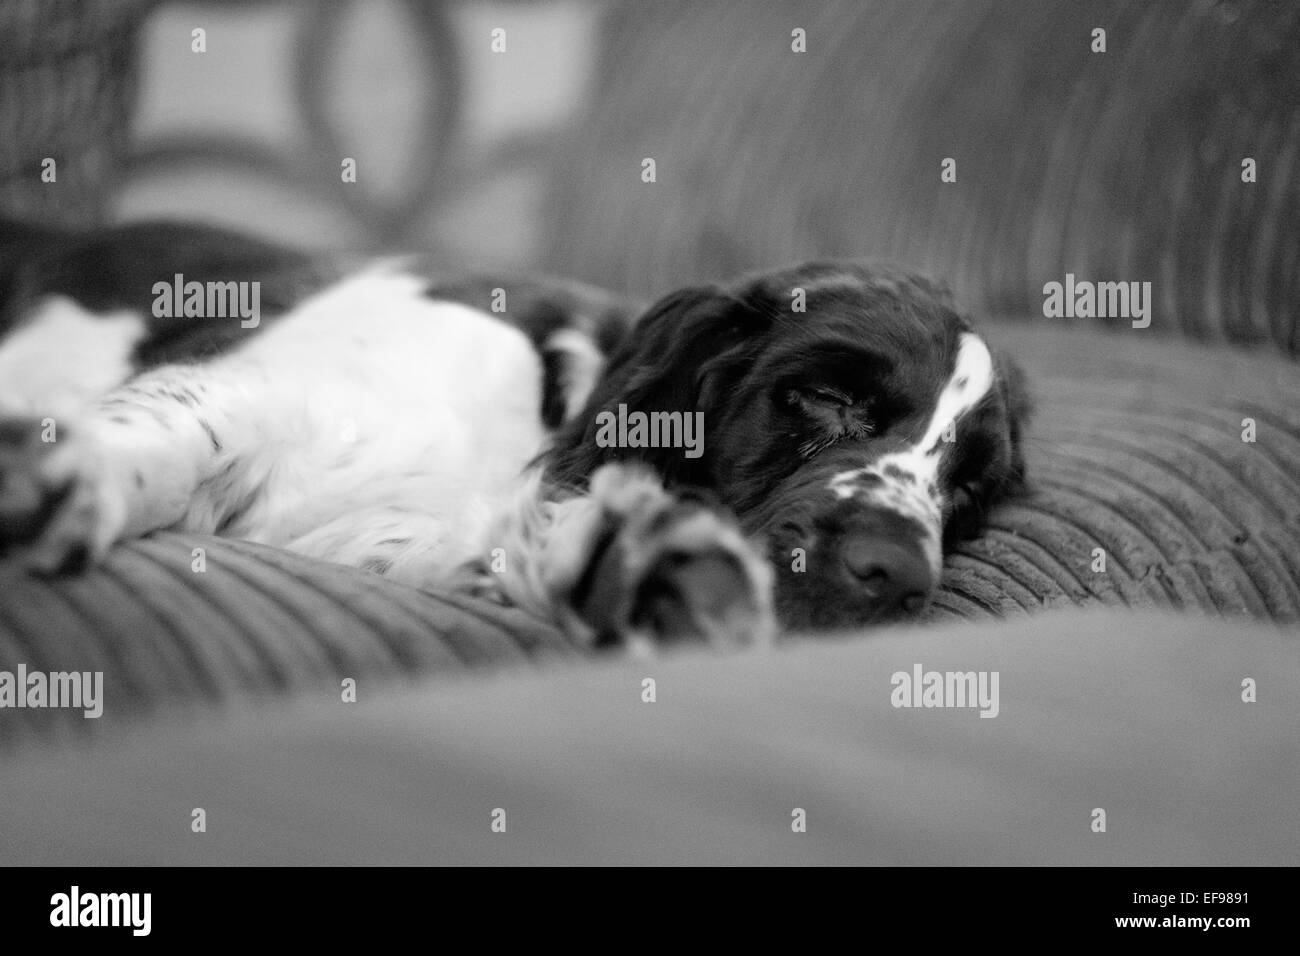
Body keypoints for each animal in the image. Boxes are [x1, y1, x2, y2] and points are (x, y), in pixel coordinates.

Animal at [0, 218, 1029, 650]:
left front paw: (651, 573)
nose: (895, 575)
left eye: (970, 492)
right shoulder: (260, 387)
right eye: (825, 400)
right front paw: (63, 477)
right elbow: (172, 431)